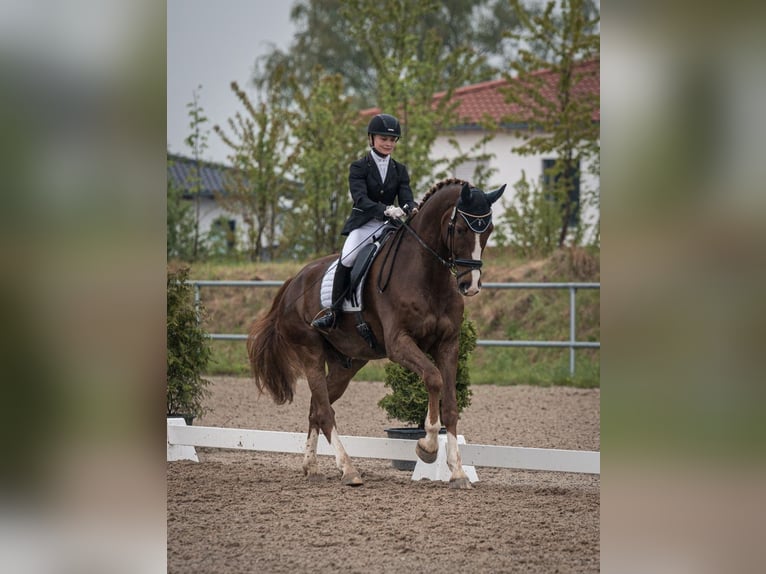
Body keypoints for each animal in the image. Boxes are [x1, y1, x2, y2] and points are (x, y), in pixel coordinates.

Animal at [246, 178, 508, 488]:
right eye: (459, 229)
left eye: (488, 230)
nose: (471, 285)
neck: (428, 274)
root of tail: (292, 283)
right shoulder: (399, 344)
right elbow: (433, 379)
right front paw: (428, 447)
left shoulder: (448, 344)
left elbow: (451, 404)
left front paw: (457, 472)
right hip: (310, 351)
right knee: (324, 411)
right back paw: (349, 470)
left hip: (347, 363)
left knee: (316, 408)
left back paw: (312, 468)